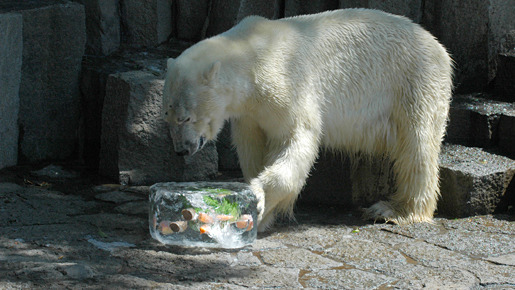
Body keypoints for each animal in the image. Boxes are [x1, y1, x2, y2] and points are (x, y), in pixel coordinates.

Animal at [163, 8, 454, 231]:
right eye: (167, 114)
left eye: (186, 117)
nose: (181, 150)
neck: (251, 53)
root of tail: (439, 47)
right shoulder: (249, 113)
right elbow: (252, 147)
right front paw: (259, 213)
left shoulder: (286, 84)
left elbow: (296, 138)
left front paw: (259, 200)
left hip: (413, 82)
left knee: (416, 145)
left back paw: (395, 210)